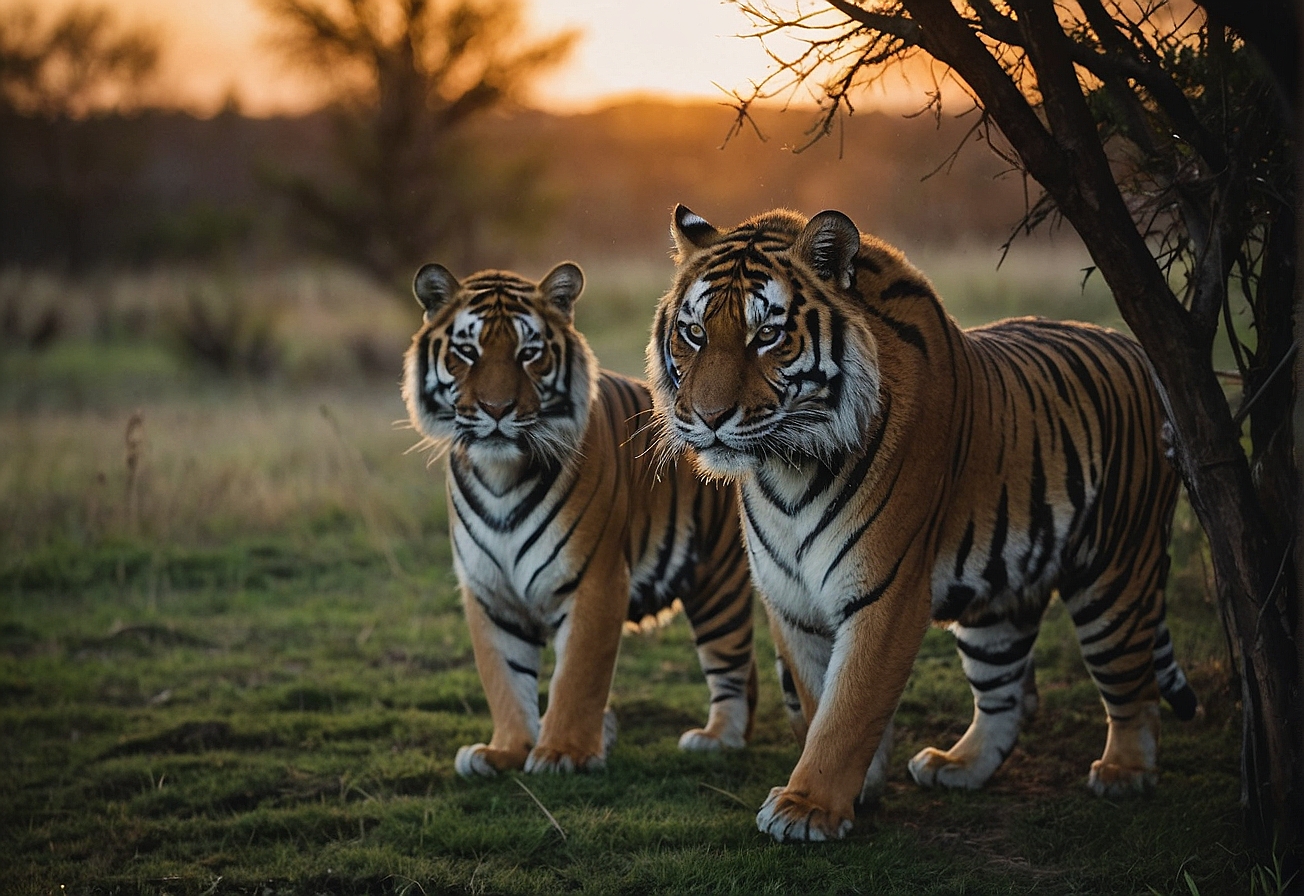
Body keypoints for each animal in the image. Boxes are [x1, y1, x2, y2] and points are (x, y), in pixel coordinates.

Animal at [401, 259, 761, 777]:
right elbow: (503, 679)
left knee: (734, 664)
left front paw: (562, 752)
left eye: (529, 353)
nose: (496, 410)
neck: (500, 475)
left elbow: (577, 676)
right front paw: (506, 750)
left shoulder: (596, 580)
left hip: (720, 581)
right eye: (467, 352)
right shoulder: (489, 591)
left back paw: (717, 738)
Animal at [646, 203, 1194, 839]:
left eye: (767, 335)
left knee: (1134, 687)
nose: (707, 418)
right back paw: (957, 765)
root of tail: (1132, 346)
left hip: (1115, 574)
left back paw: (1125, 772)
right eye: (694, 333)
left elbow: (848, 709)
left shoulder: (886, 592)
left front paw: (807, 807)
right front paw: (858, 790)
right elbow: (818, 700)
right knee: (1004, 696)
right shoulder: (792, 602)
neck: (786, 469)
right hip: (997, 605)